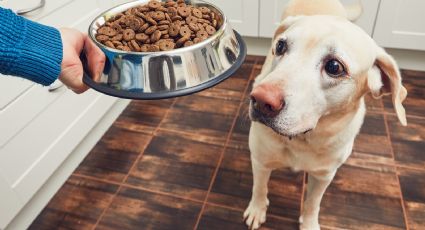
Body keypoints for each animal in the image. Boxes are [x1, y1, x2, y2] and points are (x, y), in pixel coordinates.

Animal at [243, 0, 406, 230]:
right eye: (281, 46)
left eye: (334, 67)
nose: (260, 100)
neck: (303, 139)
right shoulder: (260, 160)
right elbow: (259, 188)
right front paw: (257, 209)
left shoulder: (323, 176)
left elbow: (313, 203)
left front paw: (309, 223)